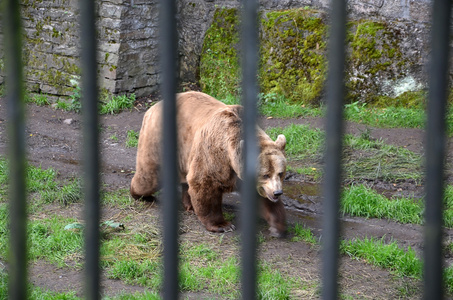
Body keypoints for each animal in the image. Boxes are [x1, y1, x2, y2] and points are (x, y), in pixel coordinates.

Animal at [131, 91, 286, 237]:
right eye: (265, 174)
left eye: (280, 173)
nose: (277, 192)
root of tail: (153, 107)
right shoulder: (214, 155)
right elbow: (205, 185)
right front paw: (222, 225)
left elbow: (262, 198)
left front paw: (277, 226)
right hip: (159, 140)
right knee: (150, 176)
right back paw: (141, 194)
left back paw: (189, 204)